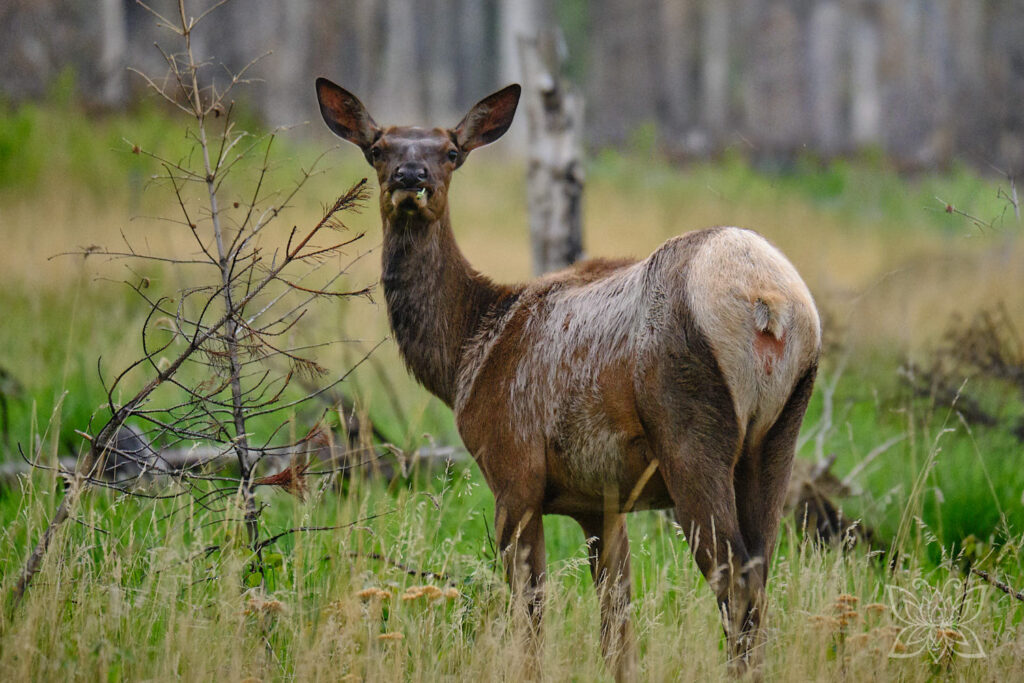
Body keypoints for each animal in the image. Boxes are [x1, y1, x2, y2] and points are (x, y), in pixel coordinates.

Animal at [315, 77, 821, 680]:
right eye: (378, 149)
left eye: (452, 152)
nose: (411, 178)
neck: (467, 353)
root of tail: (771, 304)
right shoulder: (600, 502)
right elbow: (617, 626)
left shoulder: (514, 473)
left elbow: (532, 611)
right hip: (779, 432)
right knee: (761, 574)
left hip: (690, 431)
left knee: (735, 579)